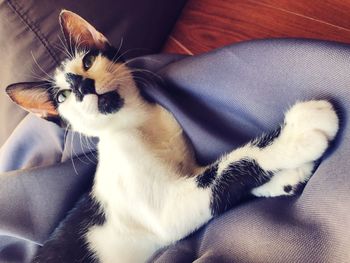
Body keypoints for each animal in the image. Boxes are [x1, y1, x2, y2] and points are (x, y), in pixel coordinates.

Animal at [5, 9, 340, 263]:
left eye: (88, 61)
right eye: (62, 96)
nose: (82, 86)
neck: (139, 125)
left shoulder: (189, 169)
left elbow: (214, 173)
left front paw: (285, 177)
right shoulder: (166, 211)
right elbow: (225, 170)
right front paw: (298, 134)